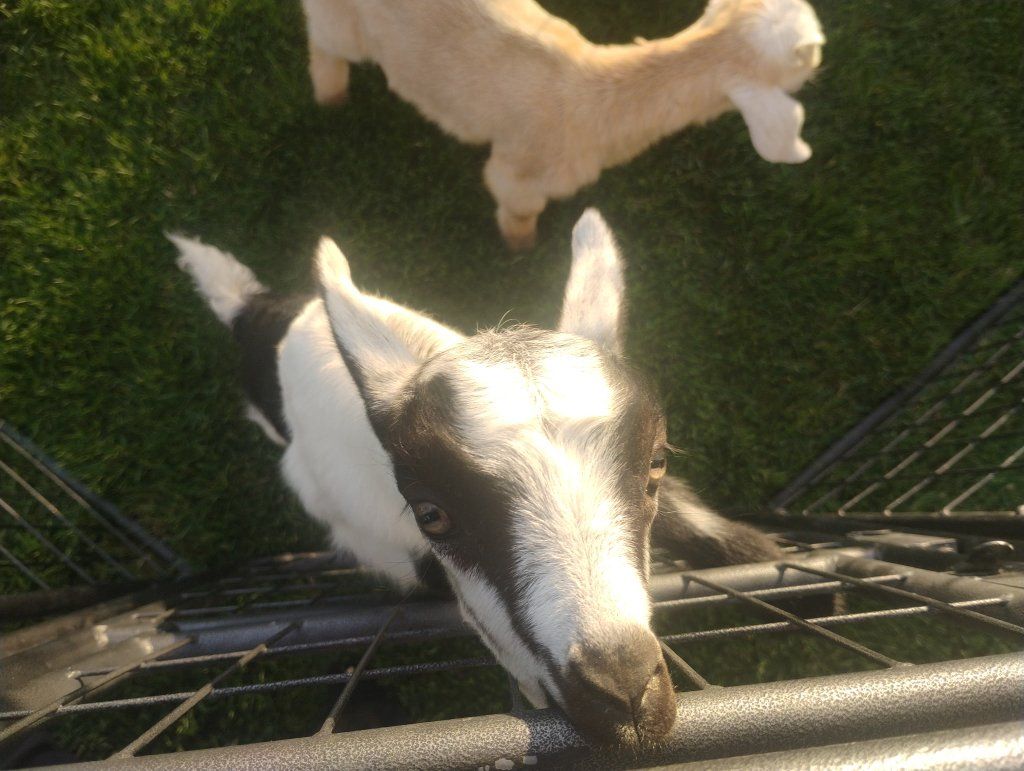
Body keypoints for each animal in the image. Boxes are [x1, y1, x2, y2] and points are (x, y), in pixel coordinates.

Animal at [302, 0, 824, 249]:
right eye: (808, 56)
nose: (821, 65)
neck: (597, 96)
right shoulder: (521, 173)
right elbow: (517, 210)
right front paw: (521, 249)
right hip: (342, 23)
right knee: (324, 43)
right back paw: (331, 96)